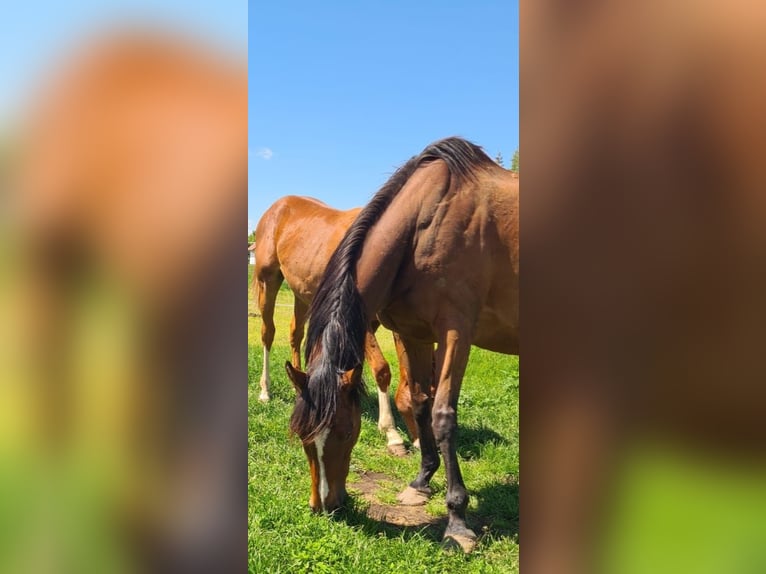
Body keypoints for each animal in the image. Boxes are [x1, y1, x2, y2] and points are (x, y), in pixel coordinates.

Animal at [252, 195, 417, 455]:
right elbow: (382, 370)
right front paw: (392, 434)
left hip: (302, 295)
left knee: (295, 334)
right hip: (267, 280)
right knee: (268, 334)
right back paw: (265, 391)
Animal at [285, 137, 519, 553]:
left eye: (345, 432)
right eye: (303, 436)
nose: (325, 506)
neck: (427, 222)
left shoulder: (455, 331)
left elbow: (442, 415)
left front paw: (457, 521)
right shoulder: (415, 333)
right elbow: (419, 402)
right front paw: (421, 481)